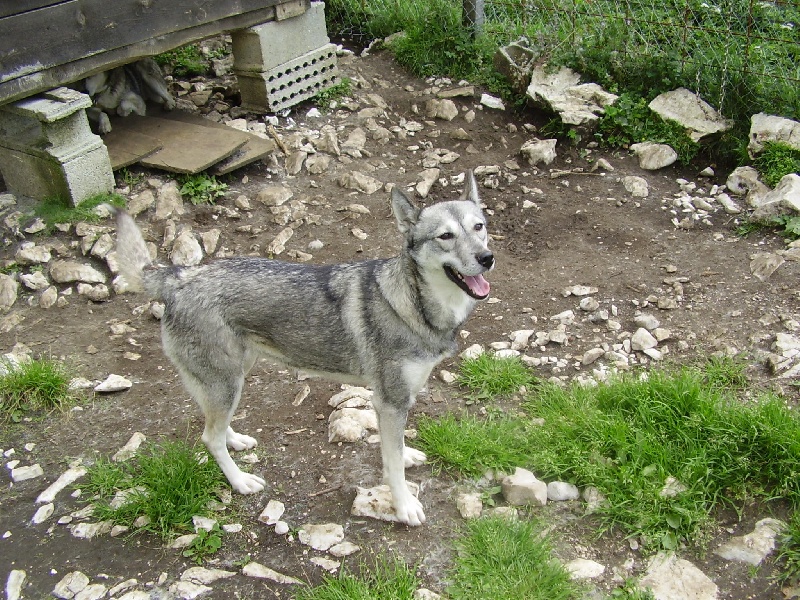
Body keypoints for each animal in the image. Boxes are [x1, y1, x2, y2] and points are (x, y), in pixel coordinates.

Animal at [109, 170, 490, 524]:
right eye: (445, 236)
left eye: (479, 227)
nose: (487, 257)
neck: (416, 304)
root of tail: (179, 277)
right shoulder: (390, 401)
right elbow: (391, 464)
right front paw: (405, 506)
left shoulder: (398, 402)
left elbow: (396, 448)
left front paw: (407, 454)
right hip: (227, 382)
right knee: (208, 438)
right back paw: (240, 481)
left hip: (232, 376)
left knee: (213, 424)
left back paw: (236, 439)